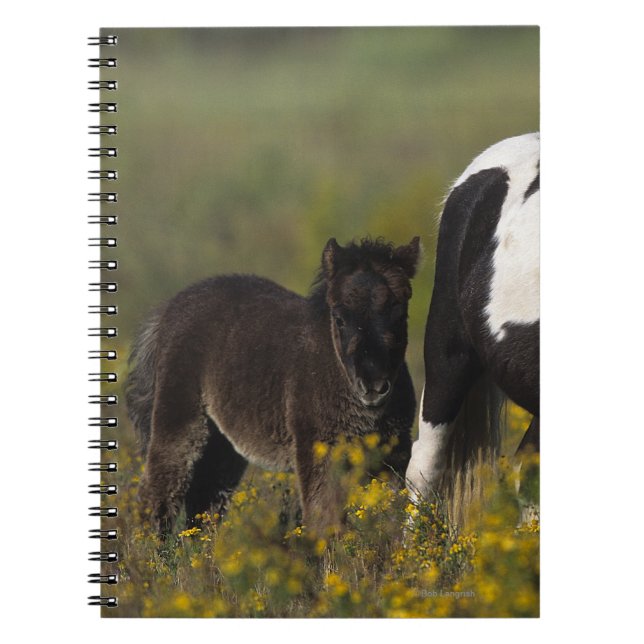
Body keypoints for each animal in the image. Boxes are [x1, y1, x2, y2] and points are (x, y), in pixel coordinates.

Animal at [126, 236, 420, 535]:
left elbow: (393, 515)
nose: (373, 385)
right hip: (179, 419)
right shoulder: (318, 452)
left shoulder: (393, 454)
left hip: (223, 445)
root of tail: (168, 310)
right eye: (339, 318)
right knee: (157, 493)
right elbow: (324, 519)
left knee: (205, 504)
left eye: (400, 314)